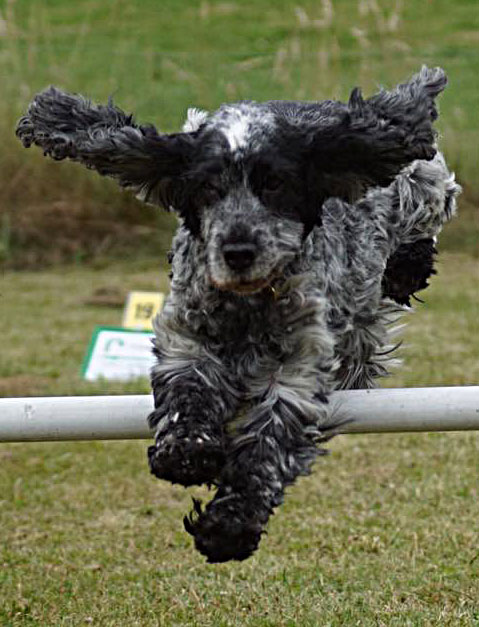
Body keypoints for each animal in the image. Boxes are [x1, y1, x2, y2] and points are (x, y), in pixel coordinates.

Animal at [16, 67, 460, 564]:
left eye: (275, 184)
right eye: (208, 187)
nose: (238, 250)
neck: (250, 305)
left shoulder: (298, 368)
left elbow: (265, 449)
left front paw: (228, 526)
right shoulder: (186, 338)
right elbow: (188, 394)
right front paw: (186, 452)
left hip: (419, 188)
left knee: (427, 210)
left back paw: (408, 265)